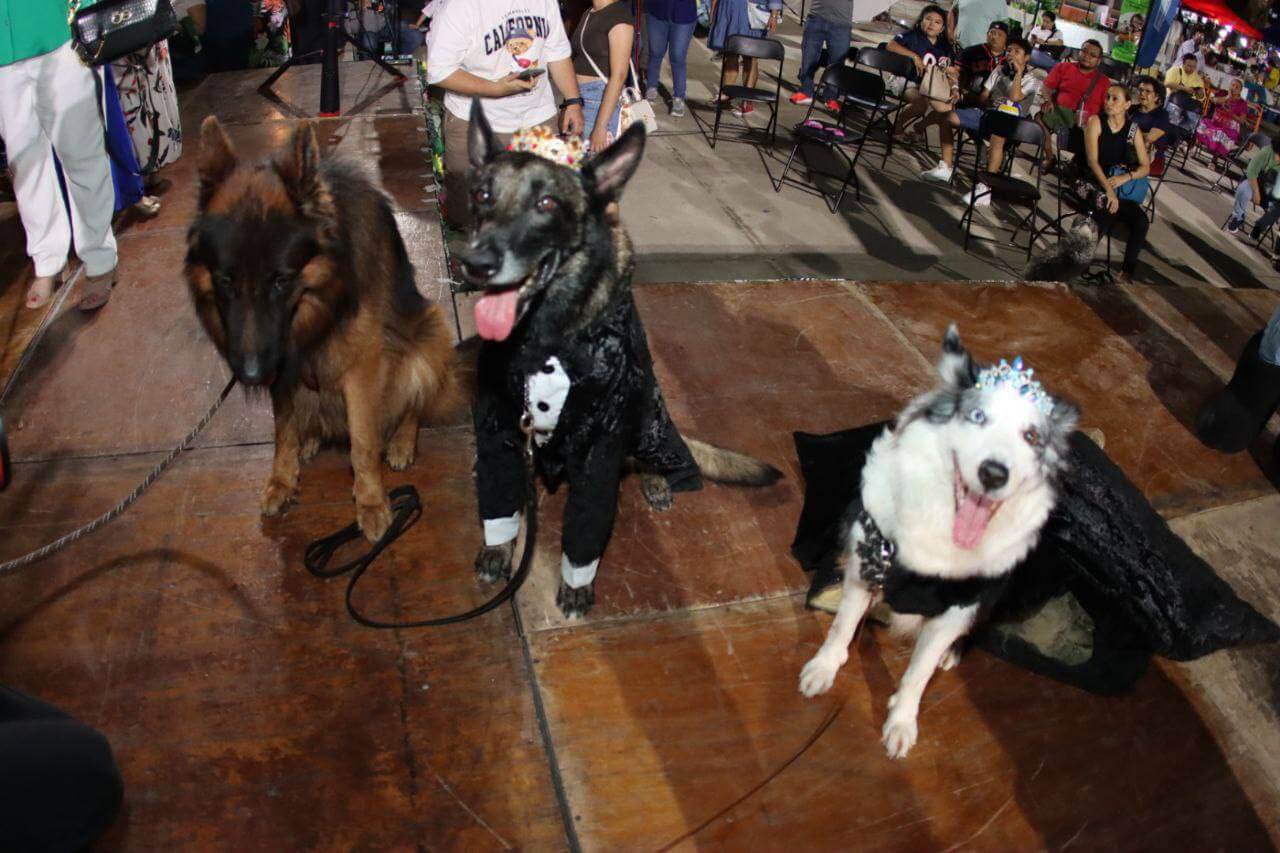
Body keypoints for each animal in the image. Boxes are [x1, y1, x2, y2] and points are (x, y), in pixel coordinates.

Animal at [185, 117, 455, 537]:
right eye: (225, 280)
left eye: (281, 280)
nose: (251, 375)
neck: (322, 302)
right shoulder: (283, 366)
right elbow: (283, 430)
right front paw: (282, 480)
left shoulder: (361, 370)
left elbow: (362, 443)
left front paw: (371, 502)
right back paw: (310, 438)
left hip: (431, 332)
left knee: (413, 402)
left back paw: (400, 442)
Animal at [458, 103, 778, 614]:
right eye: (482, 194)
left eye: (547, 204)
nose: (476, 264)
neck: (546, 339)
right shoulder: (499, 428)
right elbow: (500, 504)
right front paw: (497, 549)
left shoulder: (602, 448)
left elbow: (585, 532)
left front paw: (577, 584)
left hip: (647, 415)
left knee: (660, 455)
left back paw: (658, 479)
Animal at [803, 322, 1075, 753]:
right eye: (977, 416)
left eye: (1032, 436)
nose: (994, 473)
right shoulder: (865, 568)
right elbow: (842, 628)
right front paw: (823, 667)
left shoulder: (958, 607)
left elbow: (919, 673)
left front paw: (902, 721)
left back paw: (953, 652)